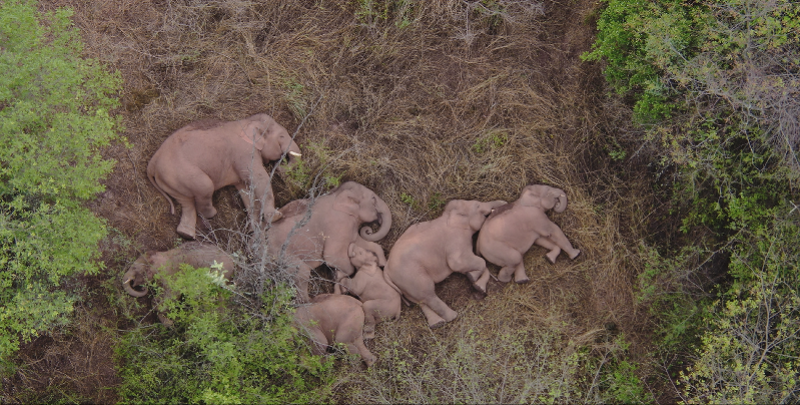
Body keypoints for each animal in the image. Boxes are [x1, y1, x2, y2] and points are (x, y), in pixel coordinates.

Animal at [147, 113, 302, 240]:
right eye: (281, 137)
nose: (280, 167)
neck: (247, 121)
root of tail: (152, 162)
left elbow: (246, 189)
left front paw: (253, 230)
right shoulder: (244, 152)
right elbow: (258, 178)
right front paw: (276, 216)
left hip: (171, 181)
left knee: (186, 202)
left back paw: (186, 235)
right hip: (181, 172)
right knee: (205, 187)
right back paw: (211, 214)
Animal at [383, 199, 507, 328]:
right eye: (477, 205)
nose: (504, 202)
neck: (448, 216)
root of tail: (386, 270)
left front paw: (476, 284)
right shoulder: (456, 239)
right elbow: (459, 263)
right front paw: (472, 277)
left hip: (404, 284)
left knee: (420, 300)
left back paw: (437, 323)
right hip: (411, 275)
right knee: (428, 294)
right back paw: (452, 317)